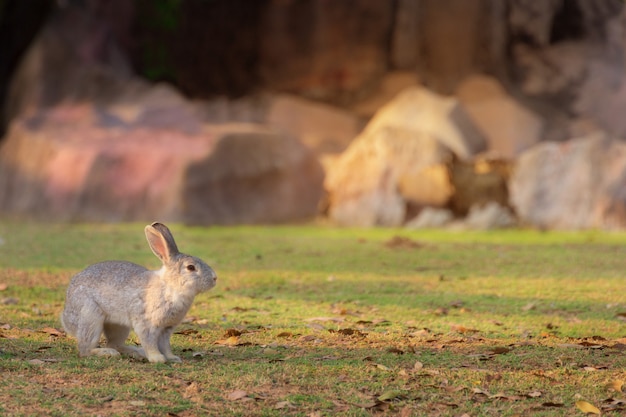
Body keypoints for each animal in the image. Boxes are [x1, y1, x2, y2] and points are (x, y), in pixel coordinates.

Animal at [60, 221, 217, 360]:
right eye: (191, 267)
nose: (214, 278)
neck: (170, 287)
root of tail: (66, 317)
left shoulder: (167, 329)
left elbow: (165, 345)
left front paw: (172, 358)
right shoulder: (147, 324)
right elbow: (150, 342)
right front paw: (157, 358)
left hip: (118, 325)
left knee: (115, 343)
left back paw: (135, 352)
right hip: (90, 315)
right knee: (85, 349)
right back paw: (107, 353)